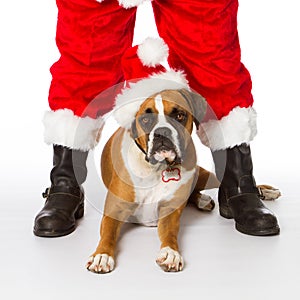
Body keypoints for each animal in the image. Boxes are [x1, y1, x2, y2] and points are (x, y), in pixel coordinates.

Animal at [85, 88, 280, 274]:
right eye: (146, 120)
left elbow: (170, 234)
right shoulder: (114, 211)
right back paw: (203, 200)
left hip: (200, 175)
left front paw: (171, 253)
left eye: (179, 115)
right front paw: (102, 255)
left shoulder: (170, 212)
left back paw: (263, 191)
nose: (162, 132)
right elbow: (108, 233)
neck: (157, 169)